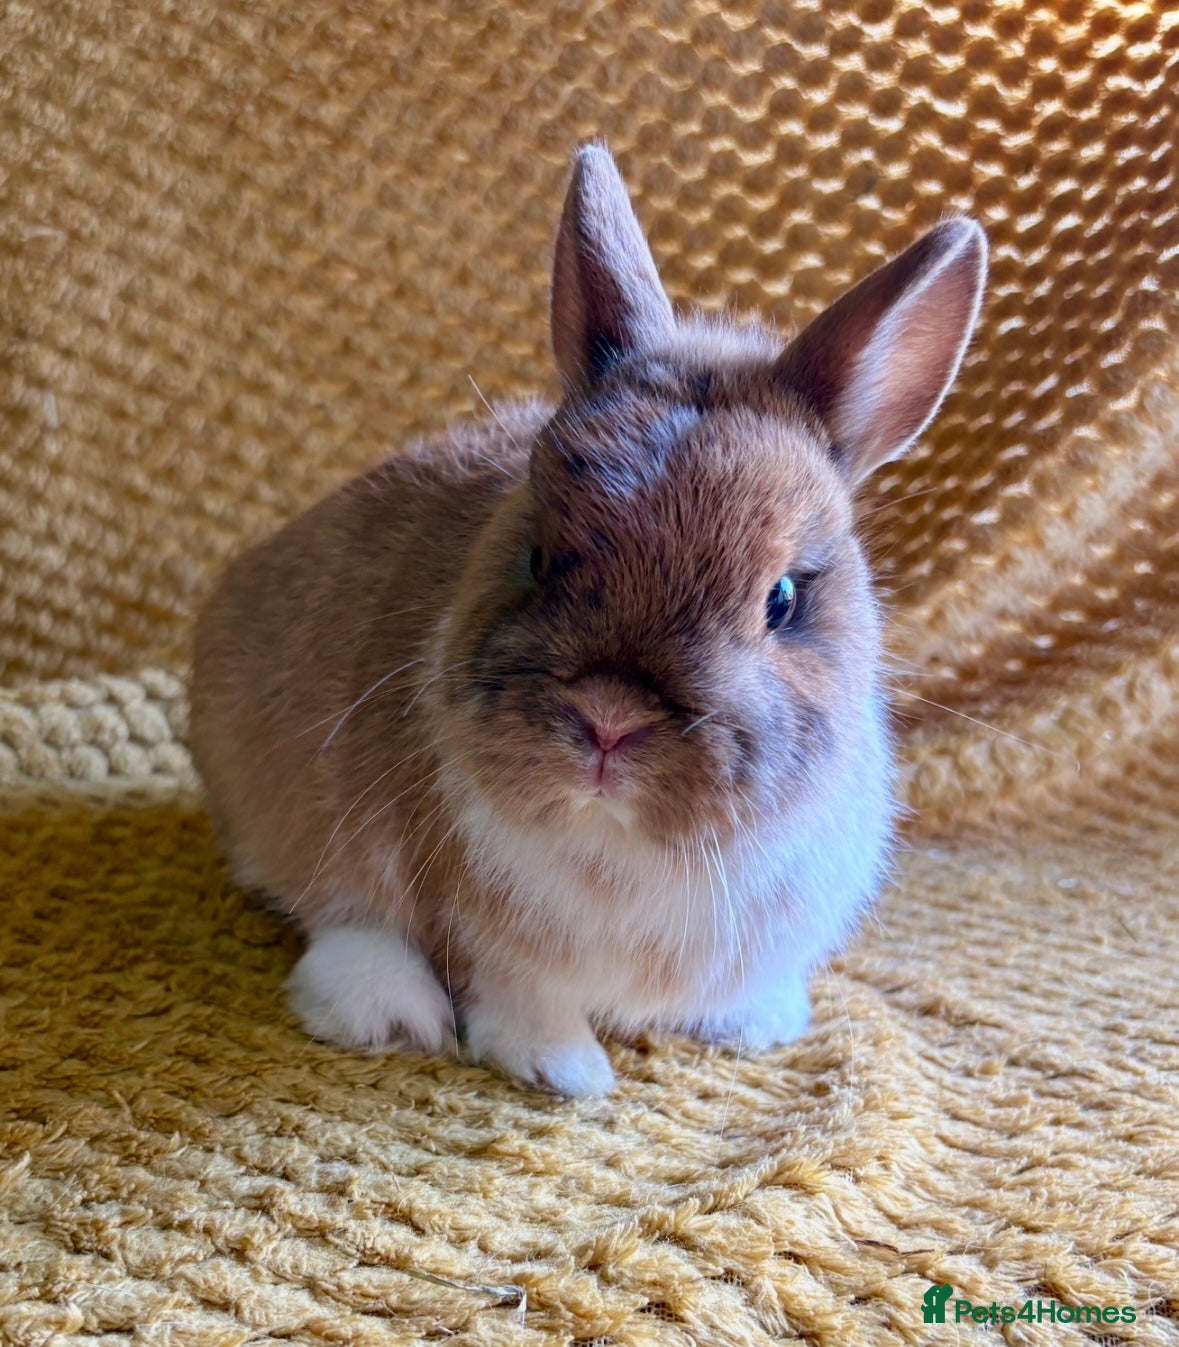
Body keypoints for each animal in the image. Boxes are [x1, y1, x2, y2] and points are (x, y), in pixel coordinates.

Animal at [190, 144, 986, 1097]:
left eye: (783, 600)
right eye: (536, 554)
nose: (608, 721)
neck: (627, 842)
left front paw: (757, 1025)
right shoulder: (489, 937)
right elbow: (517, 998)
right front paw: (564, 1071)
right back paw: (386, 1009)